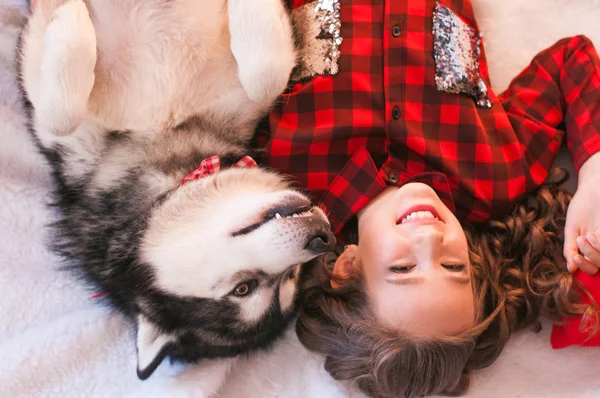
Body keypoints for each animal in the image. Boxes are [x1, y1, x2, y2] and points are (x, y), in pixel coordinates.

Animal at [16, 0, 336, 380]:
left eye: (290, 278)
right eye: (243, 289)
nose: (324, 237)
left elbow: (264, 77)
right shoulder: (66, 137)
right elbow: (60, 116)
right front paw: (67, 14)